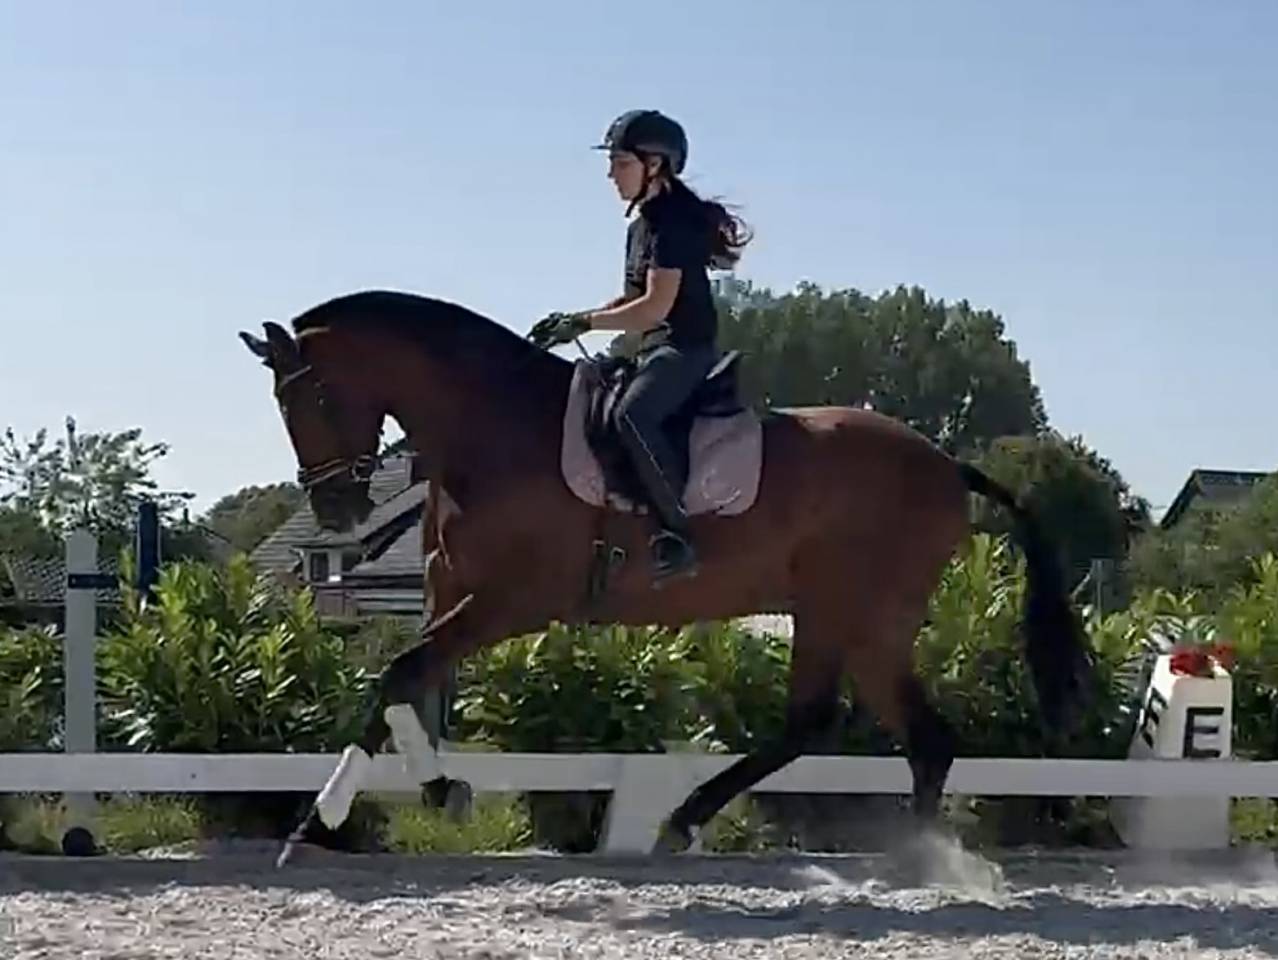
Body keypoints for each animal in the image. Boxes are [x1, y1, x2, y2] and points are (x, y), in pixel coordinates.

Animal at [238, 289, 1094, 864]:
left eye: (316, 395)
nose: (337, 509)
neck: (496, 429)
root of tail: (947, 464)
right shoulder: (446, 592)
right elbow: (398, 689)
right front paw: (392, 803)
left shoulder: (513, 602)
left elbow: (396, 676)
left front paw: (340, 816)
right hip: (828, 614)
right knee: (825, 725)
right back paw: (693, 820)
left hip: (867, 617)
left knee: (917, 738)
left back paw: (911, 863)